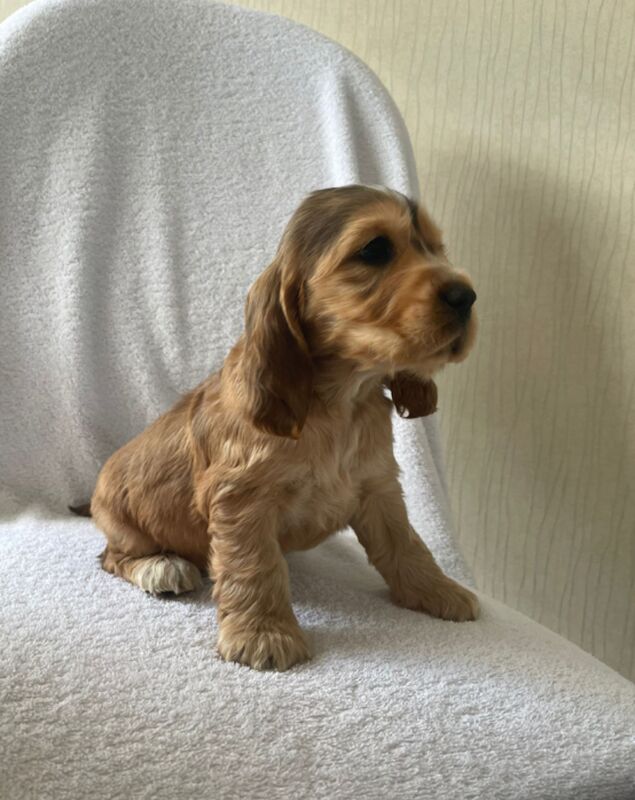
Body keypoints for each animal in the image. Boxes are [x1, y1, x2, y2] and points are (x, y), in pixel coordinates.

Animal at [87, 186, 480, 668]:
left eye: (437, 247)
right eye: (374, 249)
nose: (466, 296)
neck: (342, 400)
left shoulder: (378, 485)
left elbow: (406, 544)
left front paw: (439, 590)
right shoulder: (241, 498)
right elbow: (255, 566)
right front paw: (263, 634)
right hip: (123, 524)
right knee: (112, 557)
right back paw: (161, 567)